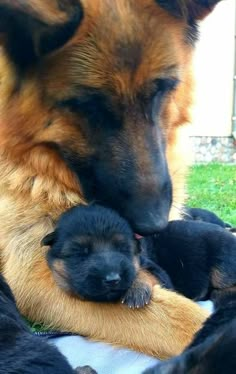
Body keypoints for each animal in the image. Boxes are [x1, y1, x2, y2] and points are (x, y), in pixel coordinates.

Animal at [42, 206, 172, 308]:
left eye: (122, 248)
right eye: (79, 253)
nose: (112, 280)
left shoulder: (158, 272)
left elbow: (146, 271)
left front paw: (137, 287)